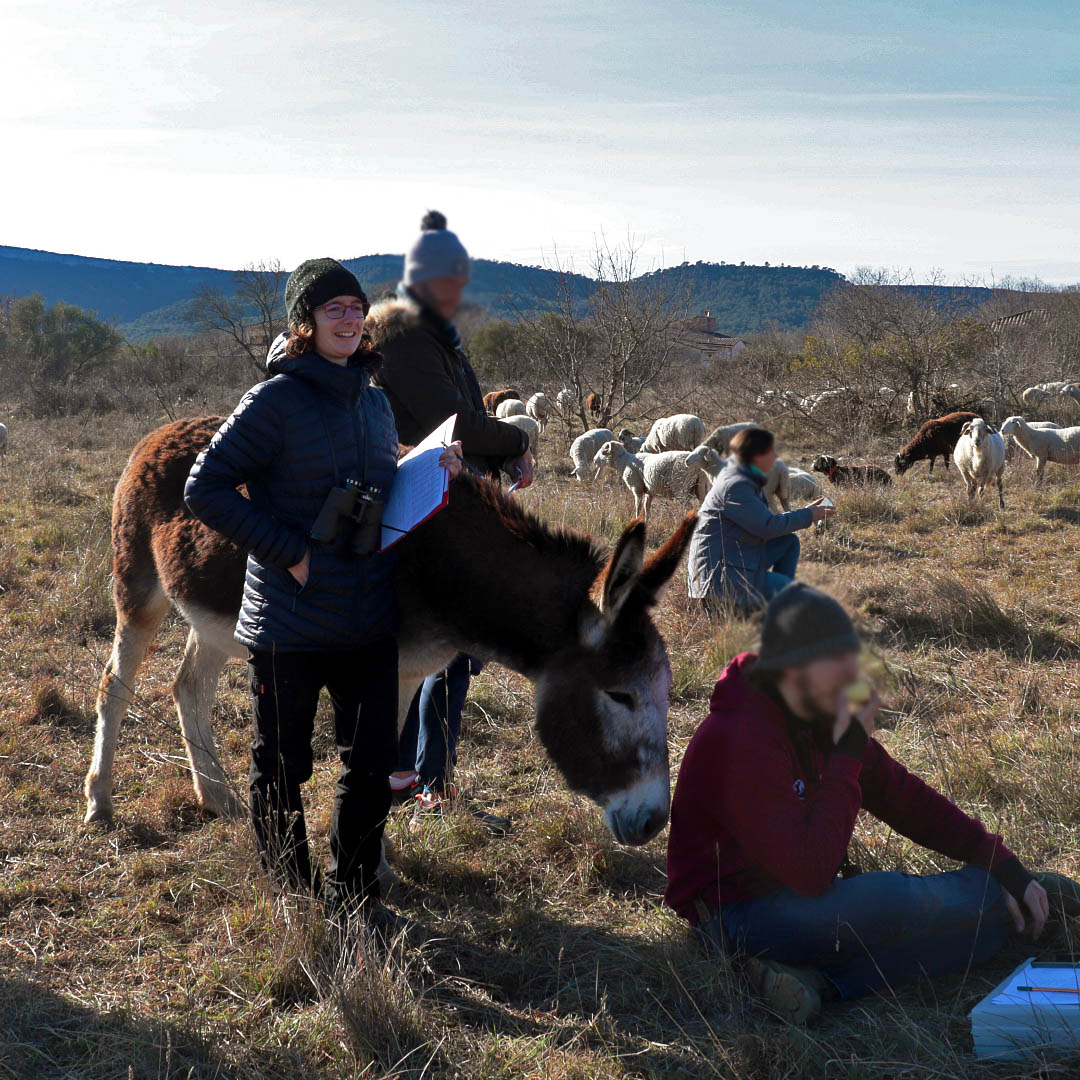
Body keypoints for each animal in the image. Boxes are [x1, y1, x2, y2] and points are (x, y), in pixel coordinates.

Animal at [84, 417, 695, 850]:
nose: (653, 824)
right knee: (114, 685)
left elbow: (379, 772)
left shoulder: (405, 674)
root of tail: (158, 433)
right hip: (138, 587)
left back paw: (215, 796)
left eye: (664, 692)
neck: (442, 569)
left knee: (188, 687)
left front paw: (374, 864)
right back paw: (99, 802)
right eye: (620, 695)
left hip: (216, 620)